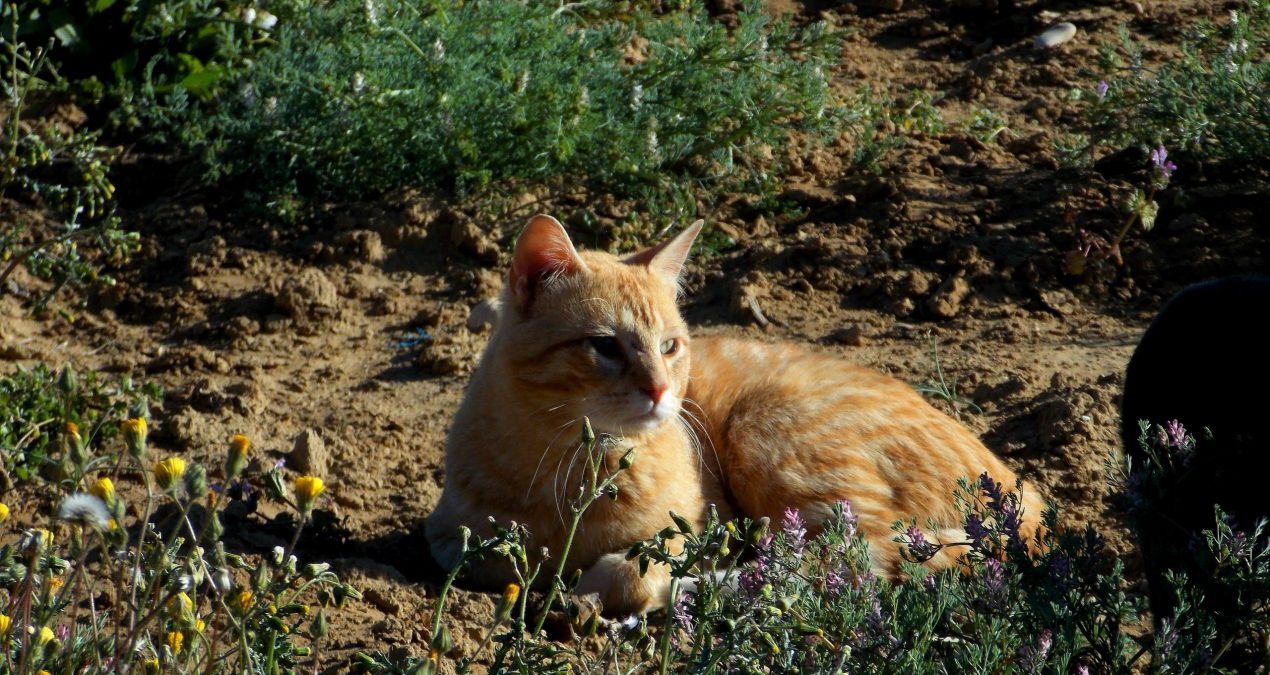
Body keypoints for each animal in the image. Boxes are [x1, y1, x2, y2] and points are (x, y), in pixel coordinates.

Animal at [426, 213, 1041, 615]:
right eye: (604, 346)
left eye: (670, 346)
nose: (659, 390)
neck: (571, 467)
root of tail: (1026, 492)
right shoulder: (453, 540)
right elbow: (490, 560)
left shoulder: (691, 530)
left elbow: (638, 570)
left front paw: (607, 589)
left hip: (771, 439)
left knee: (843, 566)